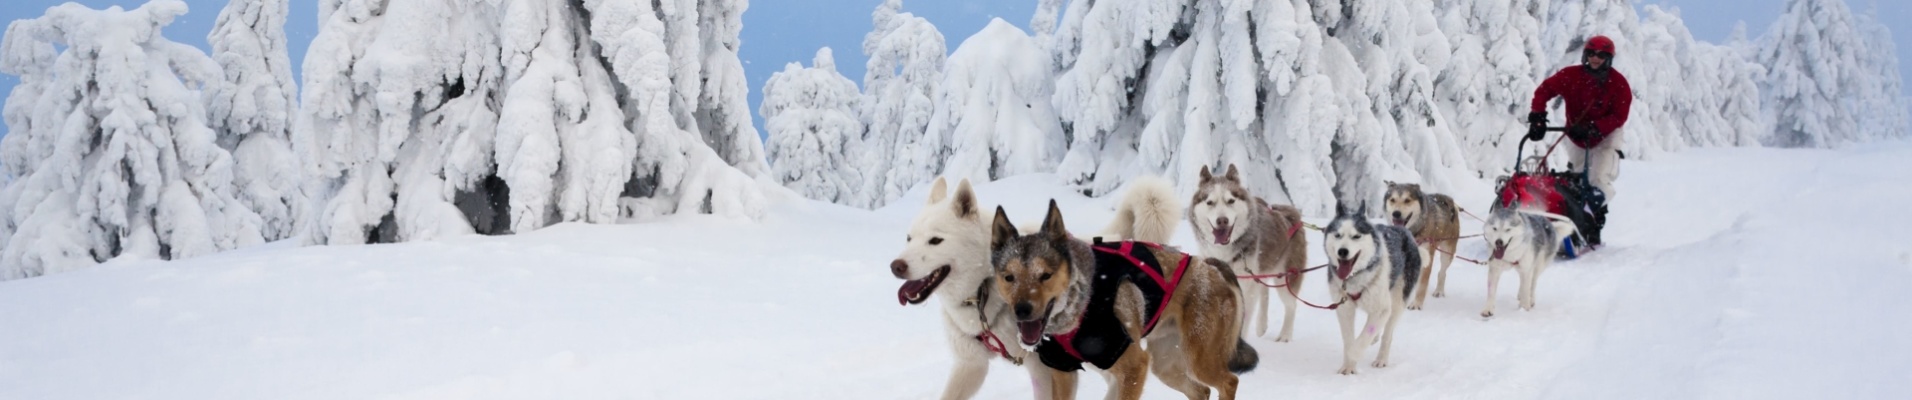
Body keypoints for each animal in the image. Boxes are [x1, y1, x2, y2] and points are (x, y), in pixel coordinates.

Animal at [994, 201, 1261, 400]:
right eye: (1009, 277)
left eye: (1045, 275)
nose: (1022, 310)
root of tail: (1212, 267)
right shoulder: (1063, 371)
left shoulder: (1134, 367)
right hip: (1165, 363)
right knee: (1201, 390)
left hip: (1198, 359)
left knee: (1229, 381)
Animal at [1177, 163, 1315, 342]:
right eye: (1210, 202)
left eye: (1231, 201)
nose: (1222, 220)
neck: (1223, 252)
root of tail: (1289, 213)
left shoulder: (1246, 287)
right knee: (1264, 290)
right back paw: (1261, 325)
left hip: (1285, 276)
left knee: (1291, 304)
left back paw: (1285, 335)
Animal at [1384, 180, 1453, 310]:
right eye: (1392, 200)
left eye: (1407, 200)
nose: (1396, 213)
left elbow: (1422, 284)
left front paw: (1416, 304)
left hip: (1447, 254)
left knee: (1442, 272)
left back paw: (1439, 291)